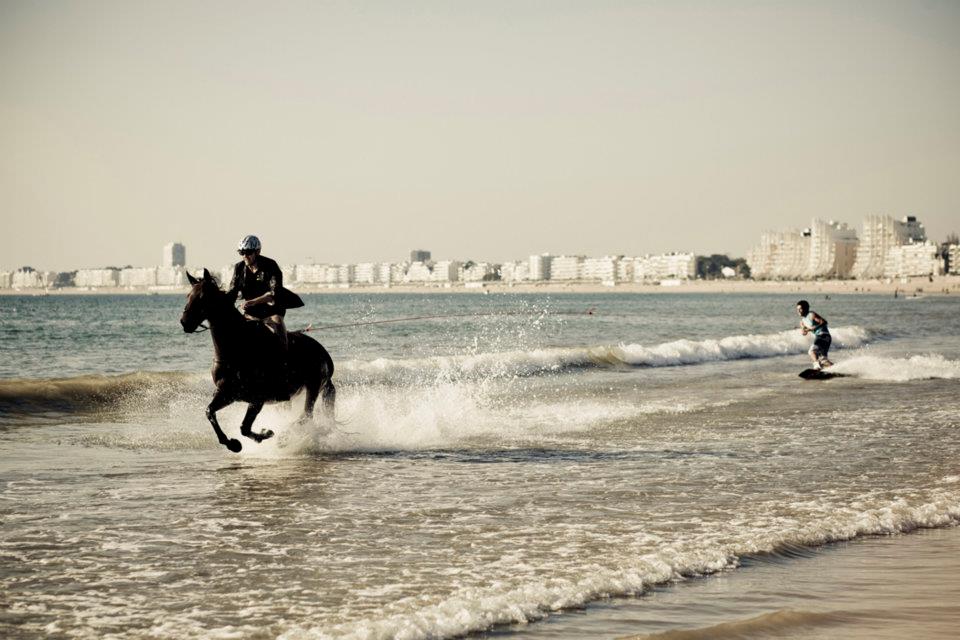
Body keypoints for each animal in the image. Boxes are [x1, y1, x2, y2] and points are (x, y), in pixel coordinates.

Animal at [180, 269, 335, 453]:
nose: (185, 322)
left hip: (313, 386)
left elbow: (244, 427)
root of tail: (323, 352)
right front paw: (232, 443)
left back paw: (285, 437)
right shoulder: (226, 394)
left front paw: (263, 435)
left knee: (306, 415)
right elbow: (210, 411)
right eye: (188, 295)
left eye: (204, 297)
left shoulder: (258, 398)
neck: (238, 349)